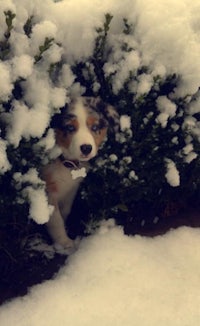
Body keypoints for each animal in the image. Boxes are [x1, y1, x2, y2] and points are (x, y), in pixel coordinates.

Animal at [42, 97, 117, 250]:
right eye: (70, 128)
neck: (66, 163)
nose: (86, 148)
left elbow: (65, 211)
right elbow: (56, 219)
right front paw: (64, 242)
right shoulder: (48, 191)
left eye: (94, 127)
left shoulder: (71, 189)